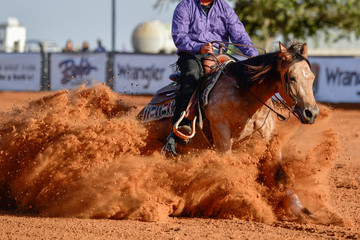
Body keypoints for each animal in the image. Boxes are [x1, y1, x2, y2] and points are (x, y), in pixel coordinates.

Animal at [137, 41, 318, 219]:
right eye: (292, 78)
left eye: (312, 78)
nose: (312, 113)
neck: (245, 95)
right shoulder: (222, 135)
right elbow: (229, 170)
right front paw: (240, 202)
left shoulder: (266, 140)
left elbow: (279, 175)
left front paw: (302, 210)